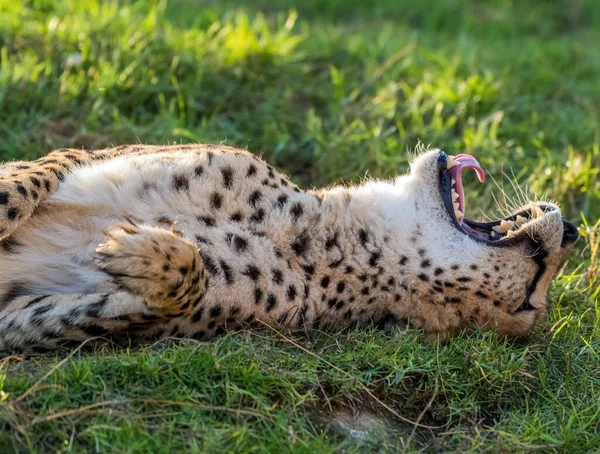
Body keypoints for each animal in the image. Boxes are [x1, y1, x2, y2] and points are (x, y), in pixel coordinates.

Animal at [0, 144, 580, 352]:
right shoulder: (80, 157)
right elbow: (25, 181)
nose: (574, 230)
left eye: (530, 293)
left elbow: (190, 279)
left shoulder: (29, 319)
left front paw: (145, 253)